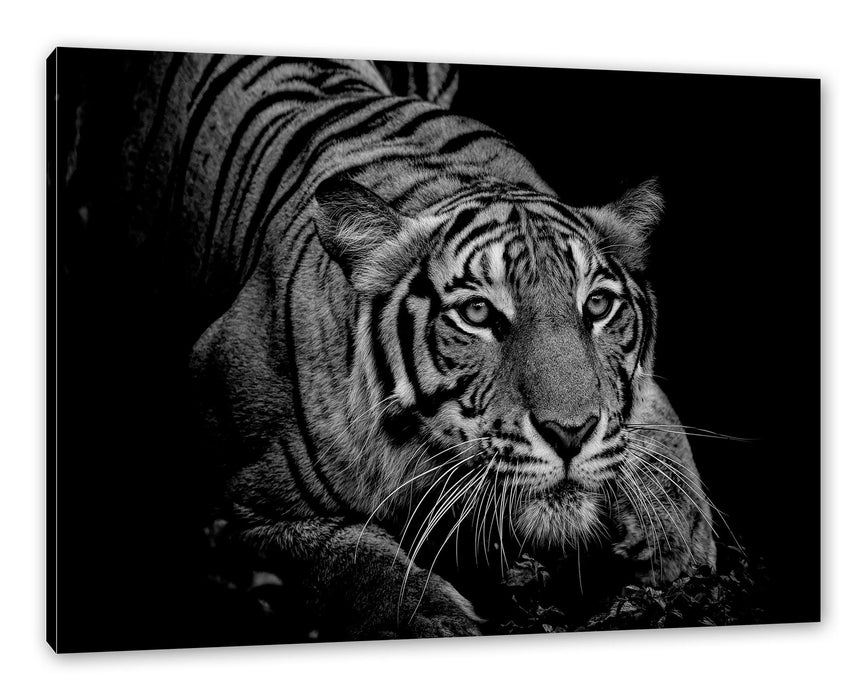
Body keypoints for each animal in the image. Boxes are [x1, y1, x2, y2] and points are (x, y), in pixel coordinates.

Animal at [107, 51, 716, 640]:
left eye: (597, 306)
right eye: (477, 313)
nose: (570, 433)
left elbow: (663, 447)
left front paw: (676, 546)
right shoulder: (238, 510)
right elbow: (352, 562)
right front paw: (432, 620)